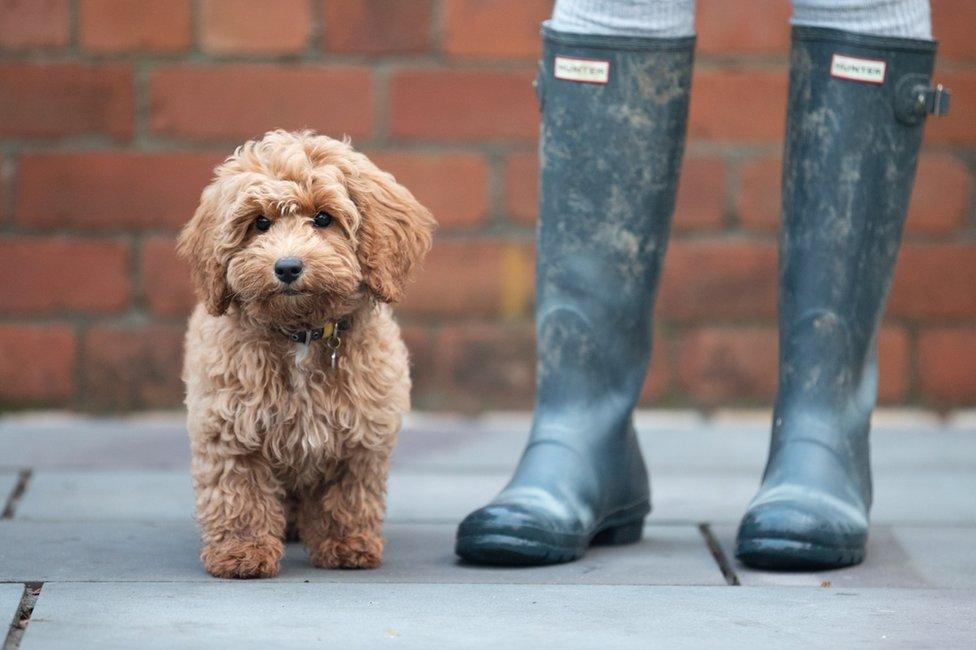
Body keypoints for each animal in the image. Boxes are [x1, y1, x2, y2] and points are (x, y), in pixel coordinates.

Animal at [176, 129, 434, 576]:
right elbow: (239, 493)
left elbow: (347, 494)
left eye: (324, 218)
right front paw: (242, 552)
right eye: (260, 223)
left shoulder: (360, 435)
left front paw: (347, 545)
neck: (302, 335)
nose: (287, 267)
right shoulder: (228, 426)